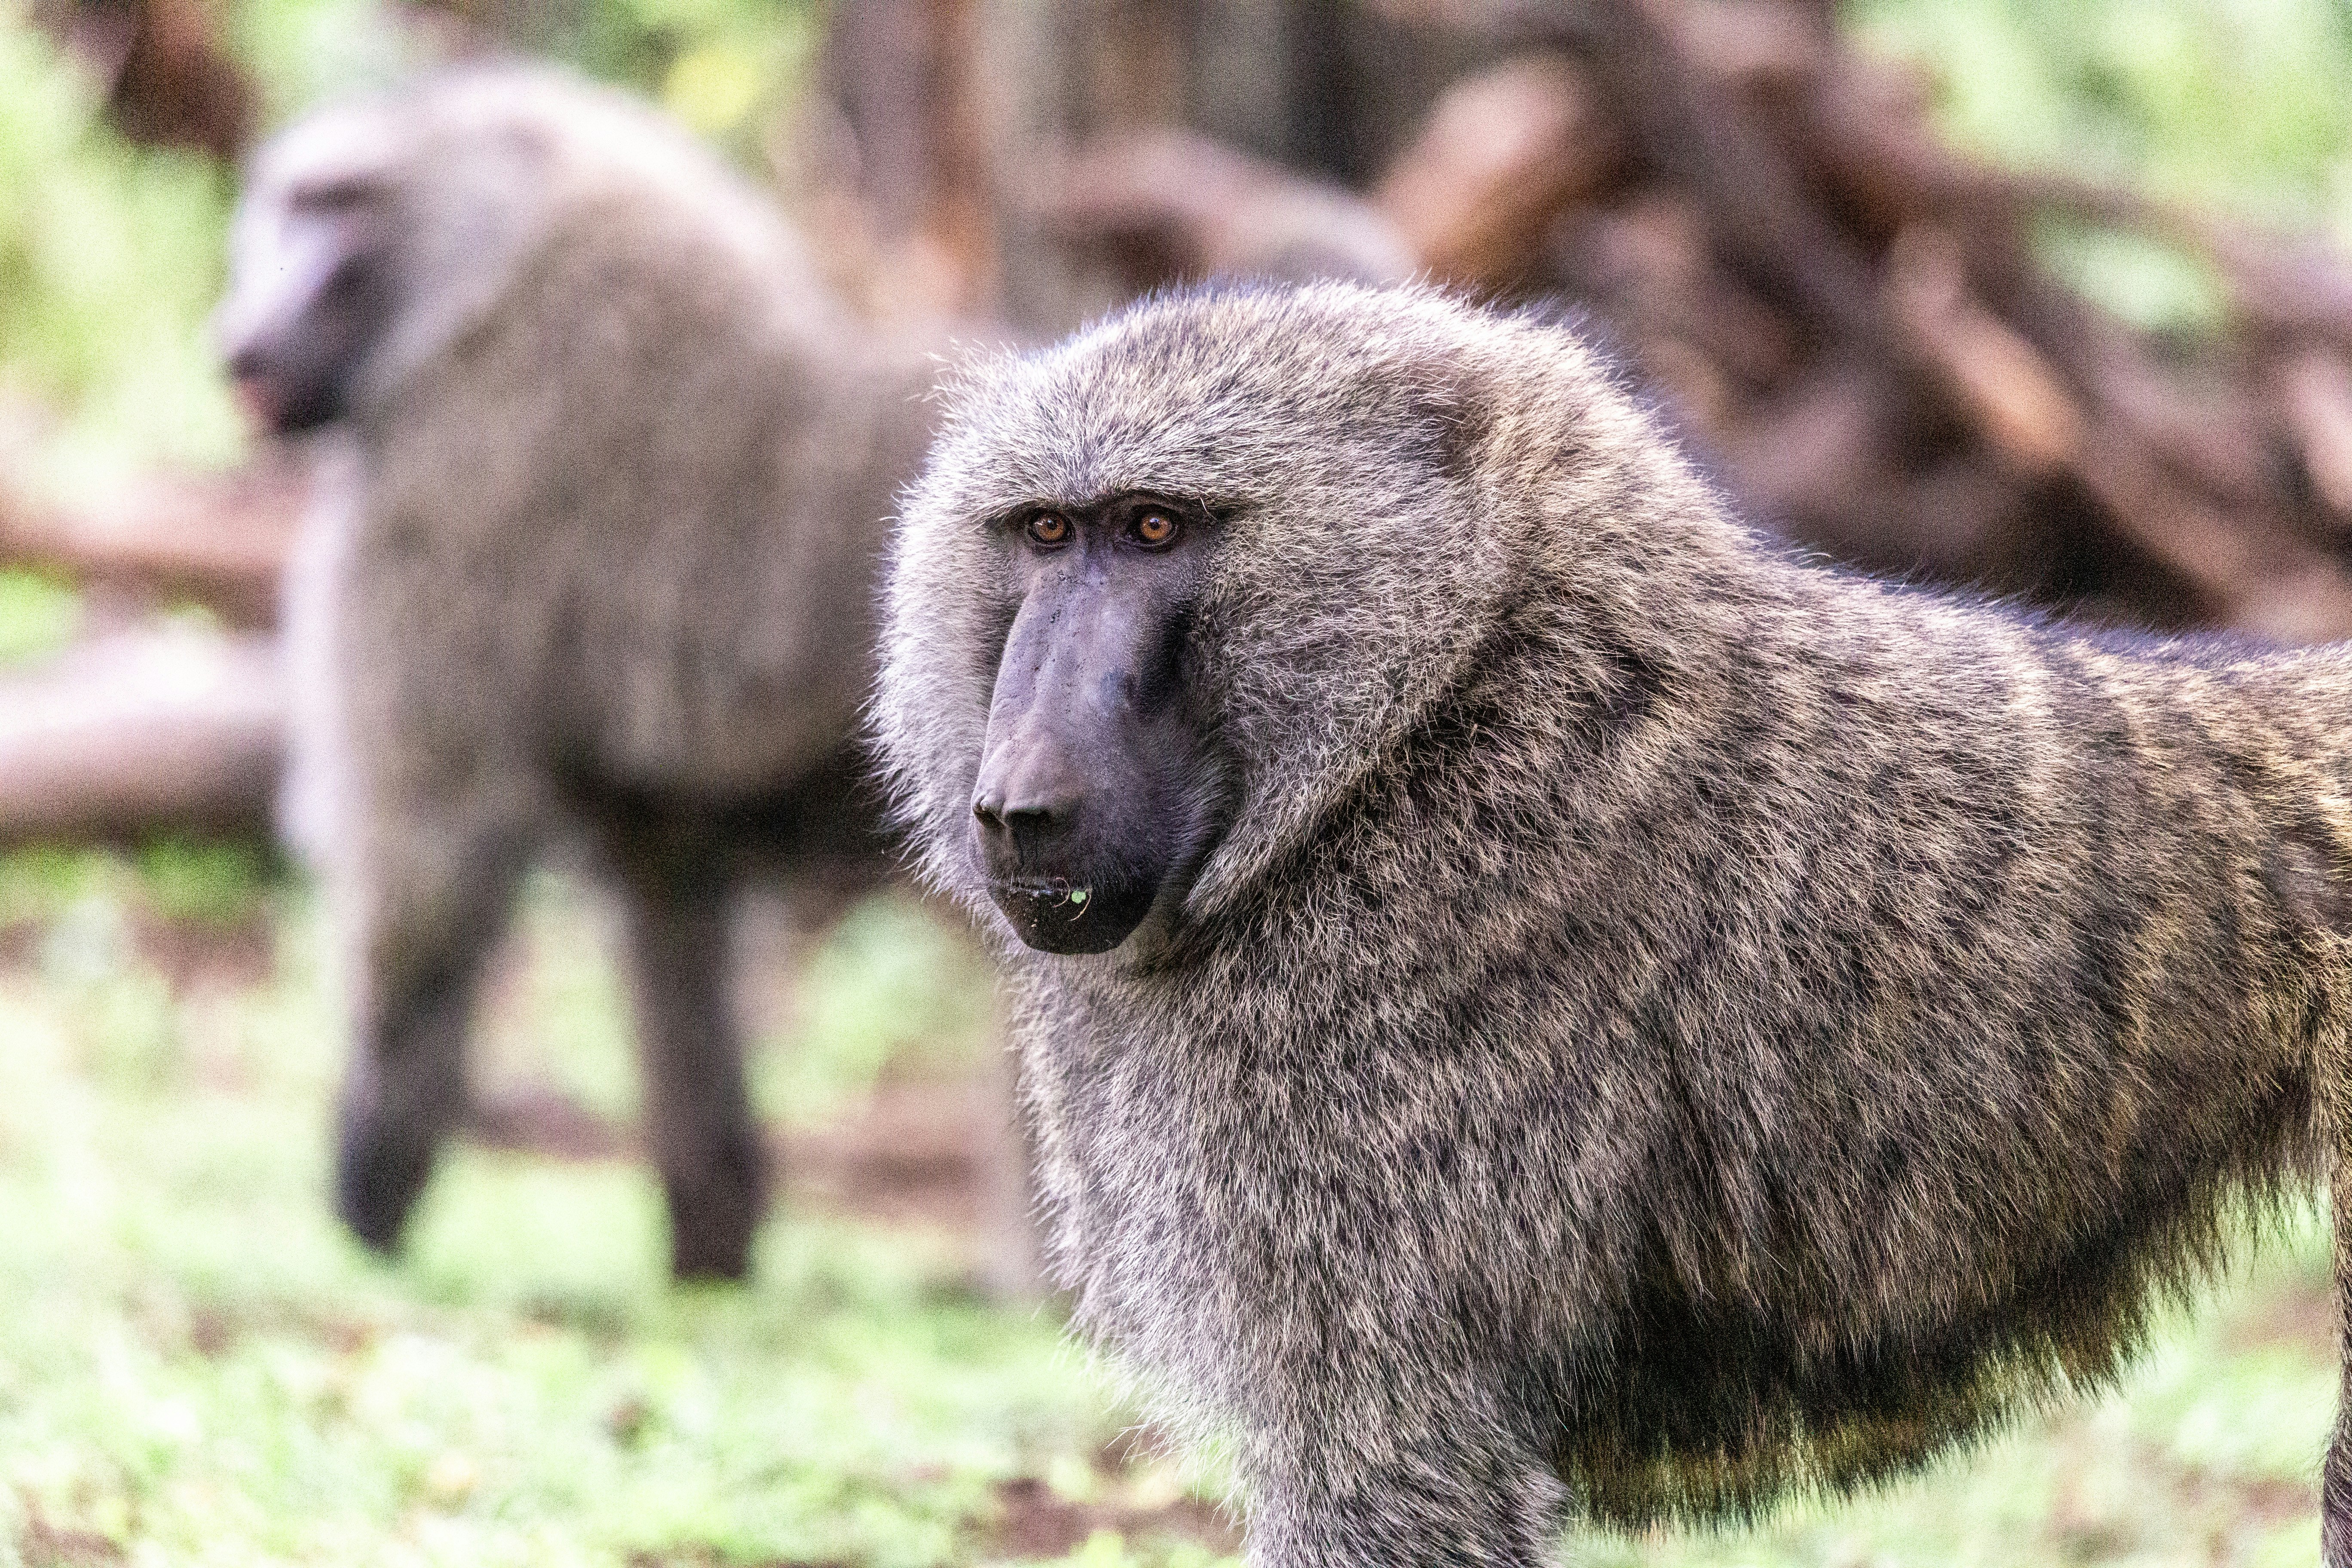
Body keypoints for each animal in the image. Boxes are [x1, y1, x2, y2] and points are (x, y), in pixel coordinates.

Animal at [213, 66, 946, 1280]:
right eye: (289, 207)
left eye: (343, 209)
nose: (244, 343)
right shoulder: (662, 823)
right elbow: (671, 914)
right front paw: (711, 1262)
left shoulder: (455, 482)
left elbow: (429, 873)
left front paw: (364, 1214)